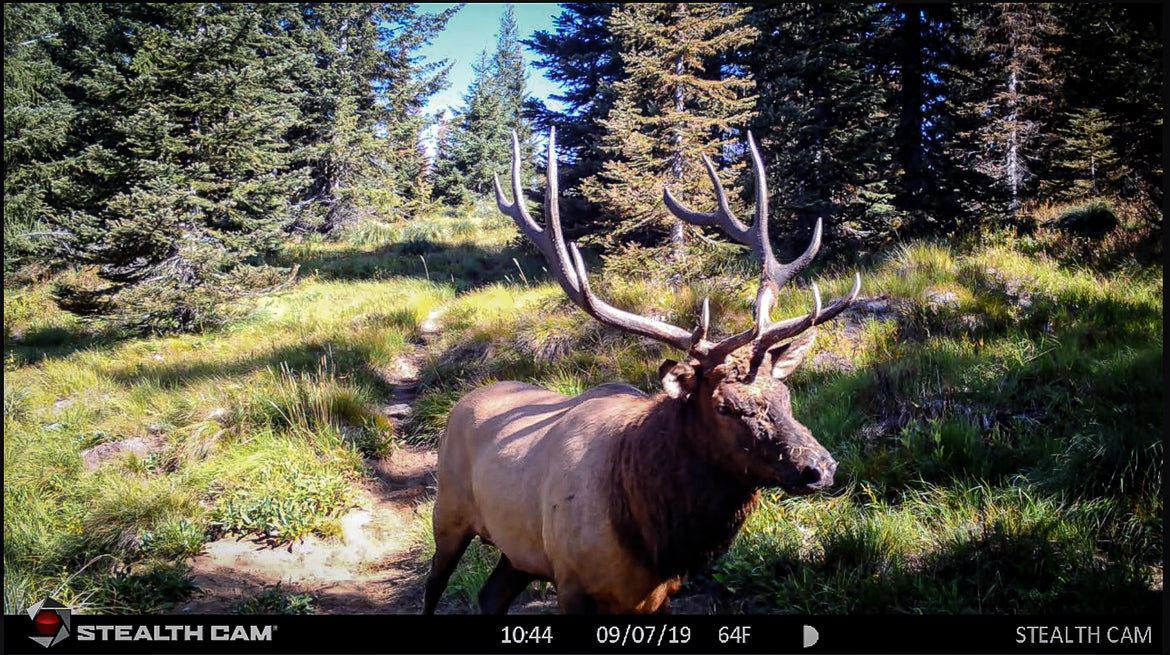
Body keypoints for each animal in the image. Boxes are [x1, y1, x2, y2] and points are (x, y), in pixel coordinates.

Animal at [421, 129, 861, 612]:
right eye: (725, 407)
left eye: (785, 396)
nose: (820, 467)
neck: (654, 539)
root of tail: (464, 400)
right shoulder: (570, 579)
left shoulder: (659, 594)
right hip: (448, 511)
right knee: (434, 584)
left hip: (518, 551)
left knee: (491, 593)